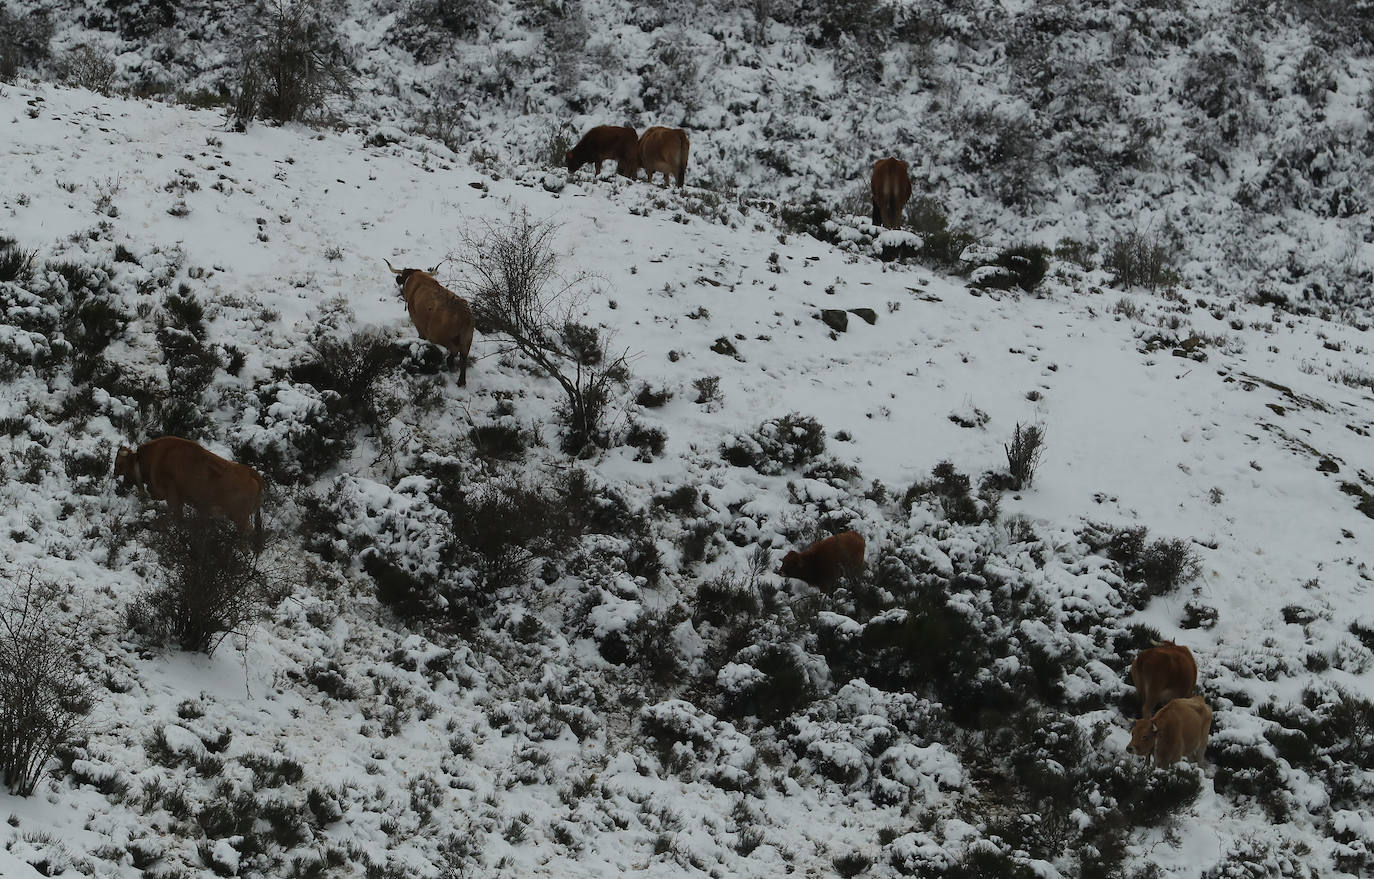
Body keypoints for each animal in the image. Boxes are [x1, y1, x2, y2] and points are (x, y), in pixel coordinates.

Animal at [115, 436, 265, 538]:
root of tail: (250, 473)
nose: (122, 485)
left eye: (120, 464)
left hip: (239, 519)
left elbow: (173, 515)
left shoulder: (172, 496)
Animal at [384, 258, 475, 387]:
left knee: (455, 350)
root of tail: (465, 316)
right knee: (463, 358)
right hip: (466, 340)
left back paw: (449, 364)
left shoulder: (419, 324)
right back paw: (460, 380)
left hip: (442, 337)